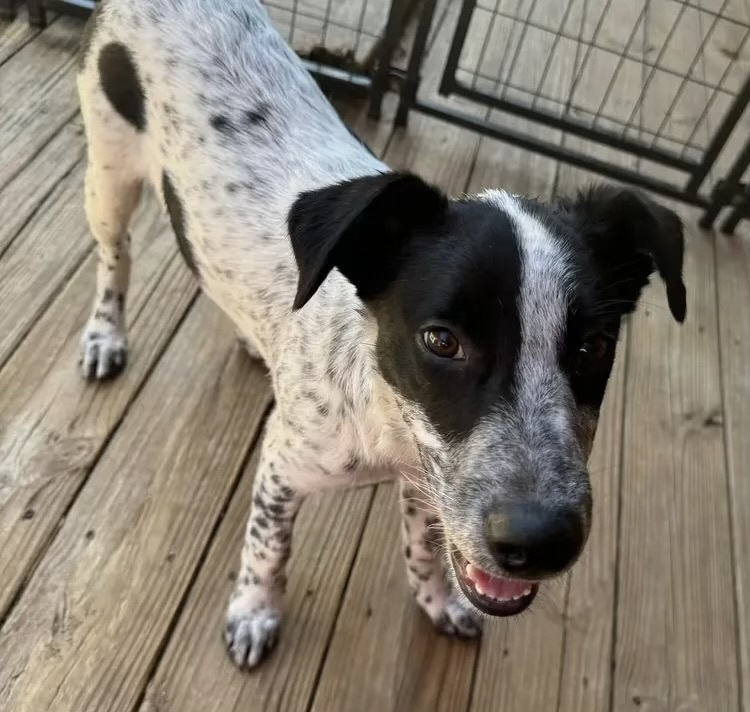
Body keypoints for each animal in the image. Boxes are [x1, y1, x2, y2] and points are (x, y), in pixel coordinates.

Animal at [76, 0, 688, 668]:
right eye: (441, 340)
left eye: (593, 346)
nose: (541, 541)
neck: (382, 417)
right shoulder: (281, 466)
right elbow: (269, 547)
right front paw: (254, 611)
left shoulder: (434, 485)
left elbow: (427, 549)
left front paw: (438, 602)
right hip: (108, 177)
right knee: (114, 261)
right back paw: (105, 334)